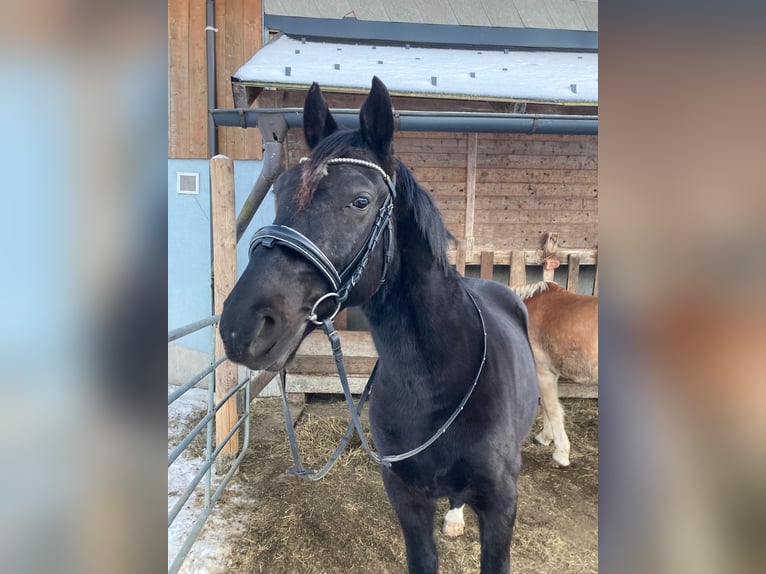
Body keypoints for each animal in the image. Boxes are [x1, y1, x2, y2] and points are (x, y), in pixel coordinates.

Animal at [219, 77, 536, 574]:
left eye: (360, 201)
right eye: (281, 192)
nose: (242, 326)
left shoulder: (501, 510)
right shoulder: (407, 499)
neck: (434, 385)